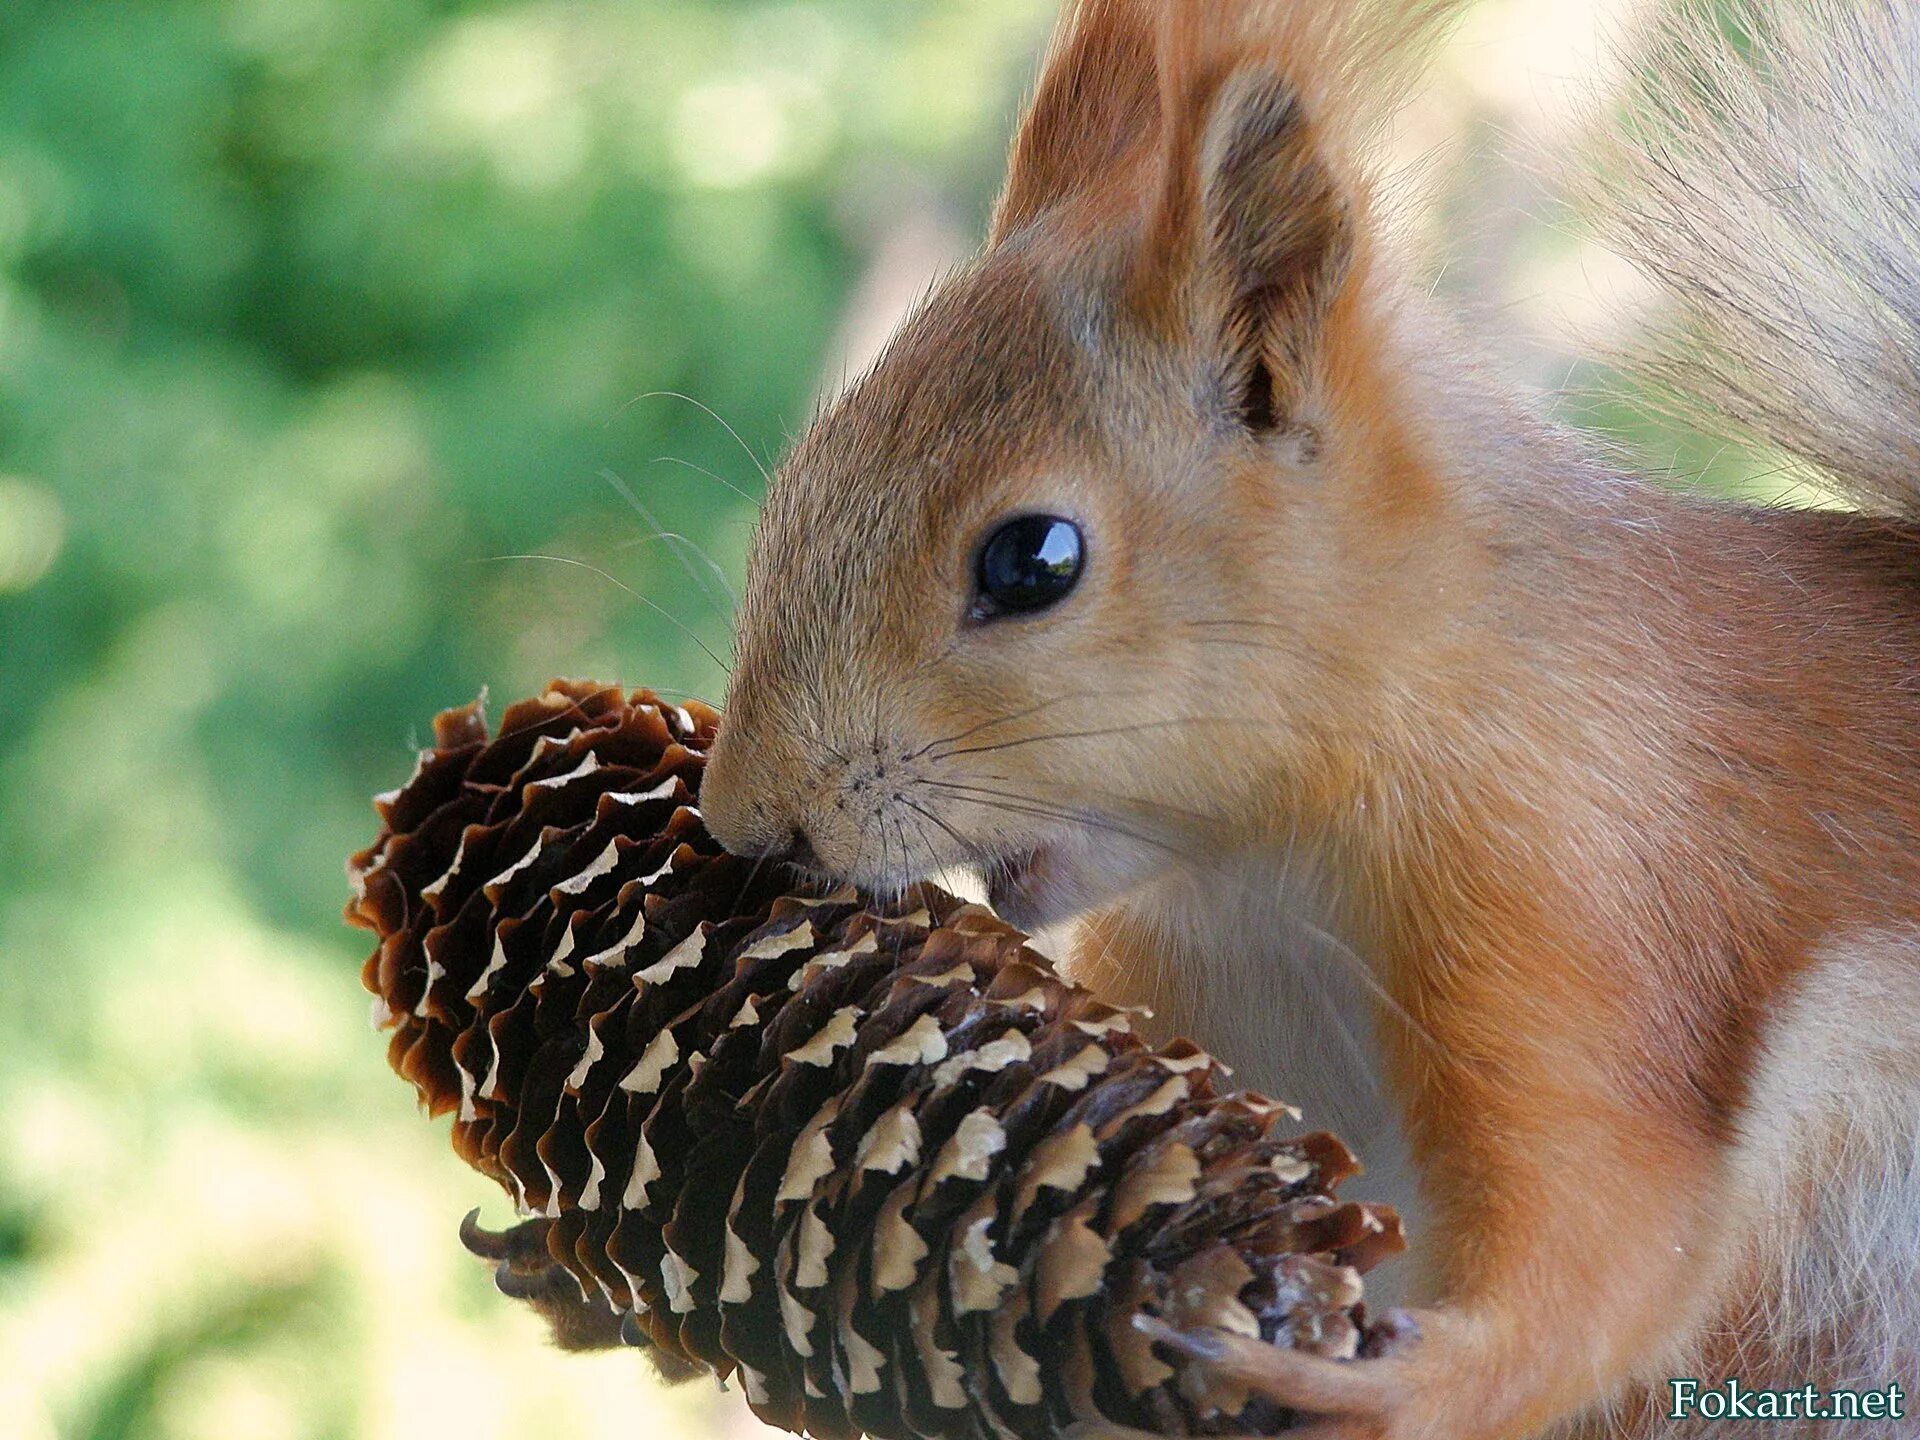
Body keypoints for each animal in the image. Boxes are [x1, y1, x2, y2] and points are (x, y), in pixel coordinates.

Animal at [698, 2, 1920, 1440]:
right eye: (798, 478)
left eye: (1032, 560)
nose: (744, 819)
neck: (1267, 877)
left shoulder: (1580, 897)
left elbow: (1611, 1248)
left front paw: (1354, 1376)